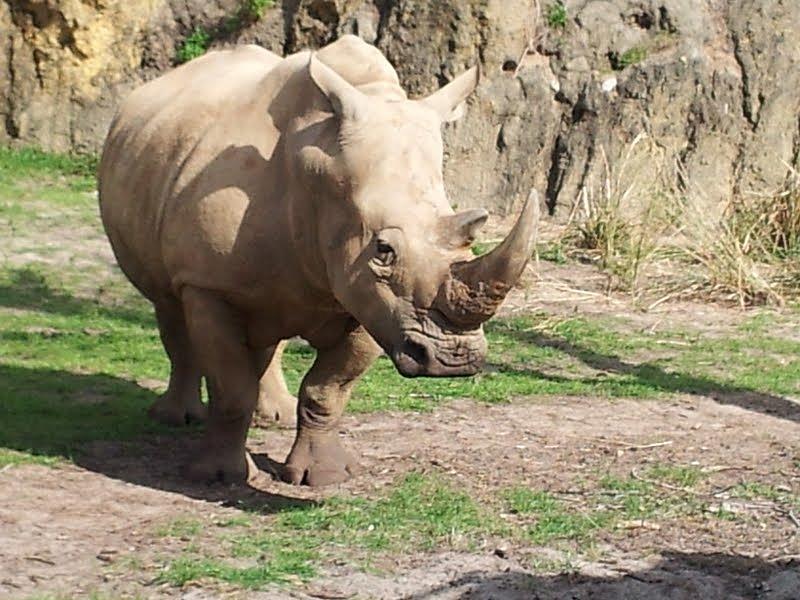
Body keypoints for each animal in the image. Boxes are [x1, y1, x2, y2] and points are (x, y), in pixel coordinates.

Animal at [100, 35, 536, 486]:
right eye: (383, 250)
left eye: (471, 240)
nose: (453, 360)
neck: (319, 175)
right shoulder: (207, 284)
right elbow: (231, 387)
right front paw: (218, 477)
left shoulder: (374, 303)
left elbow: (328, 390)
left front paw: (324, 476)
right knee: (167, 304)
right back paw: (176, 419)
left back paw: (272, 416)